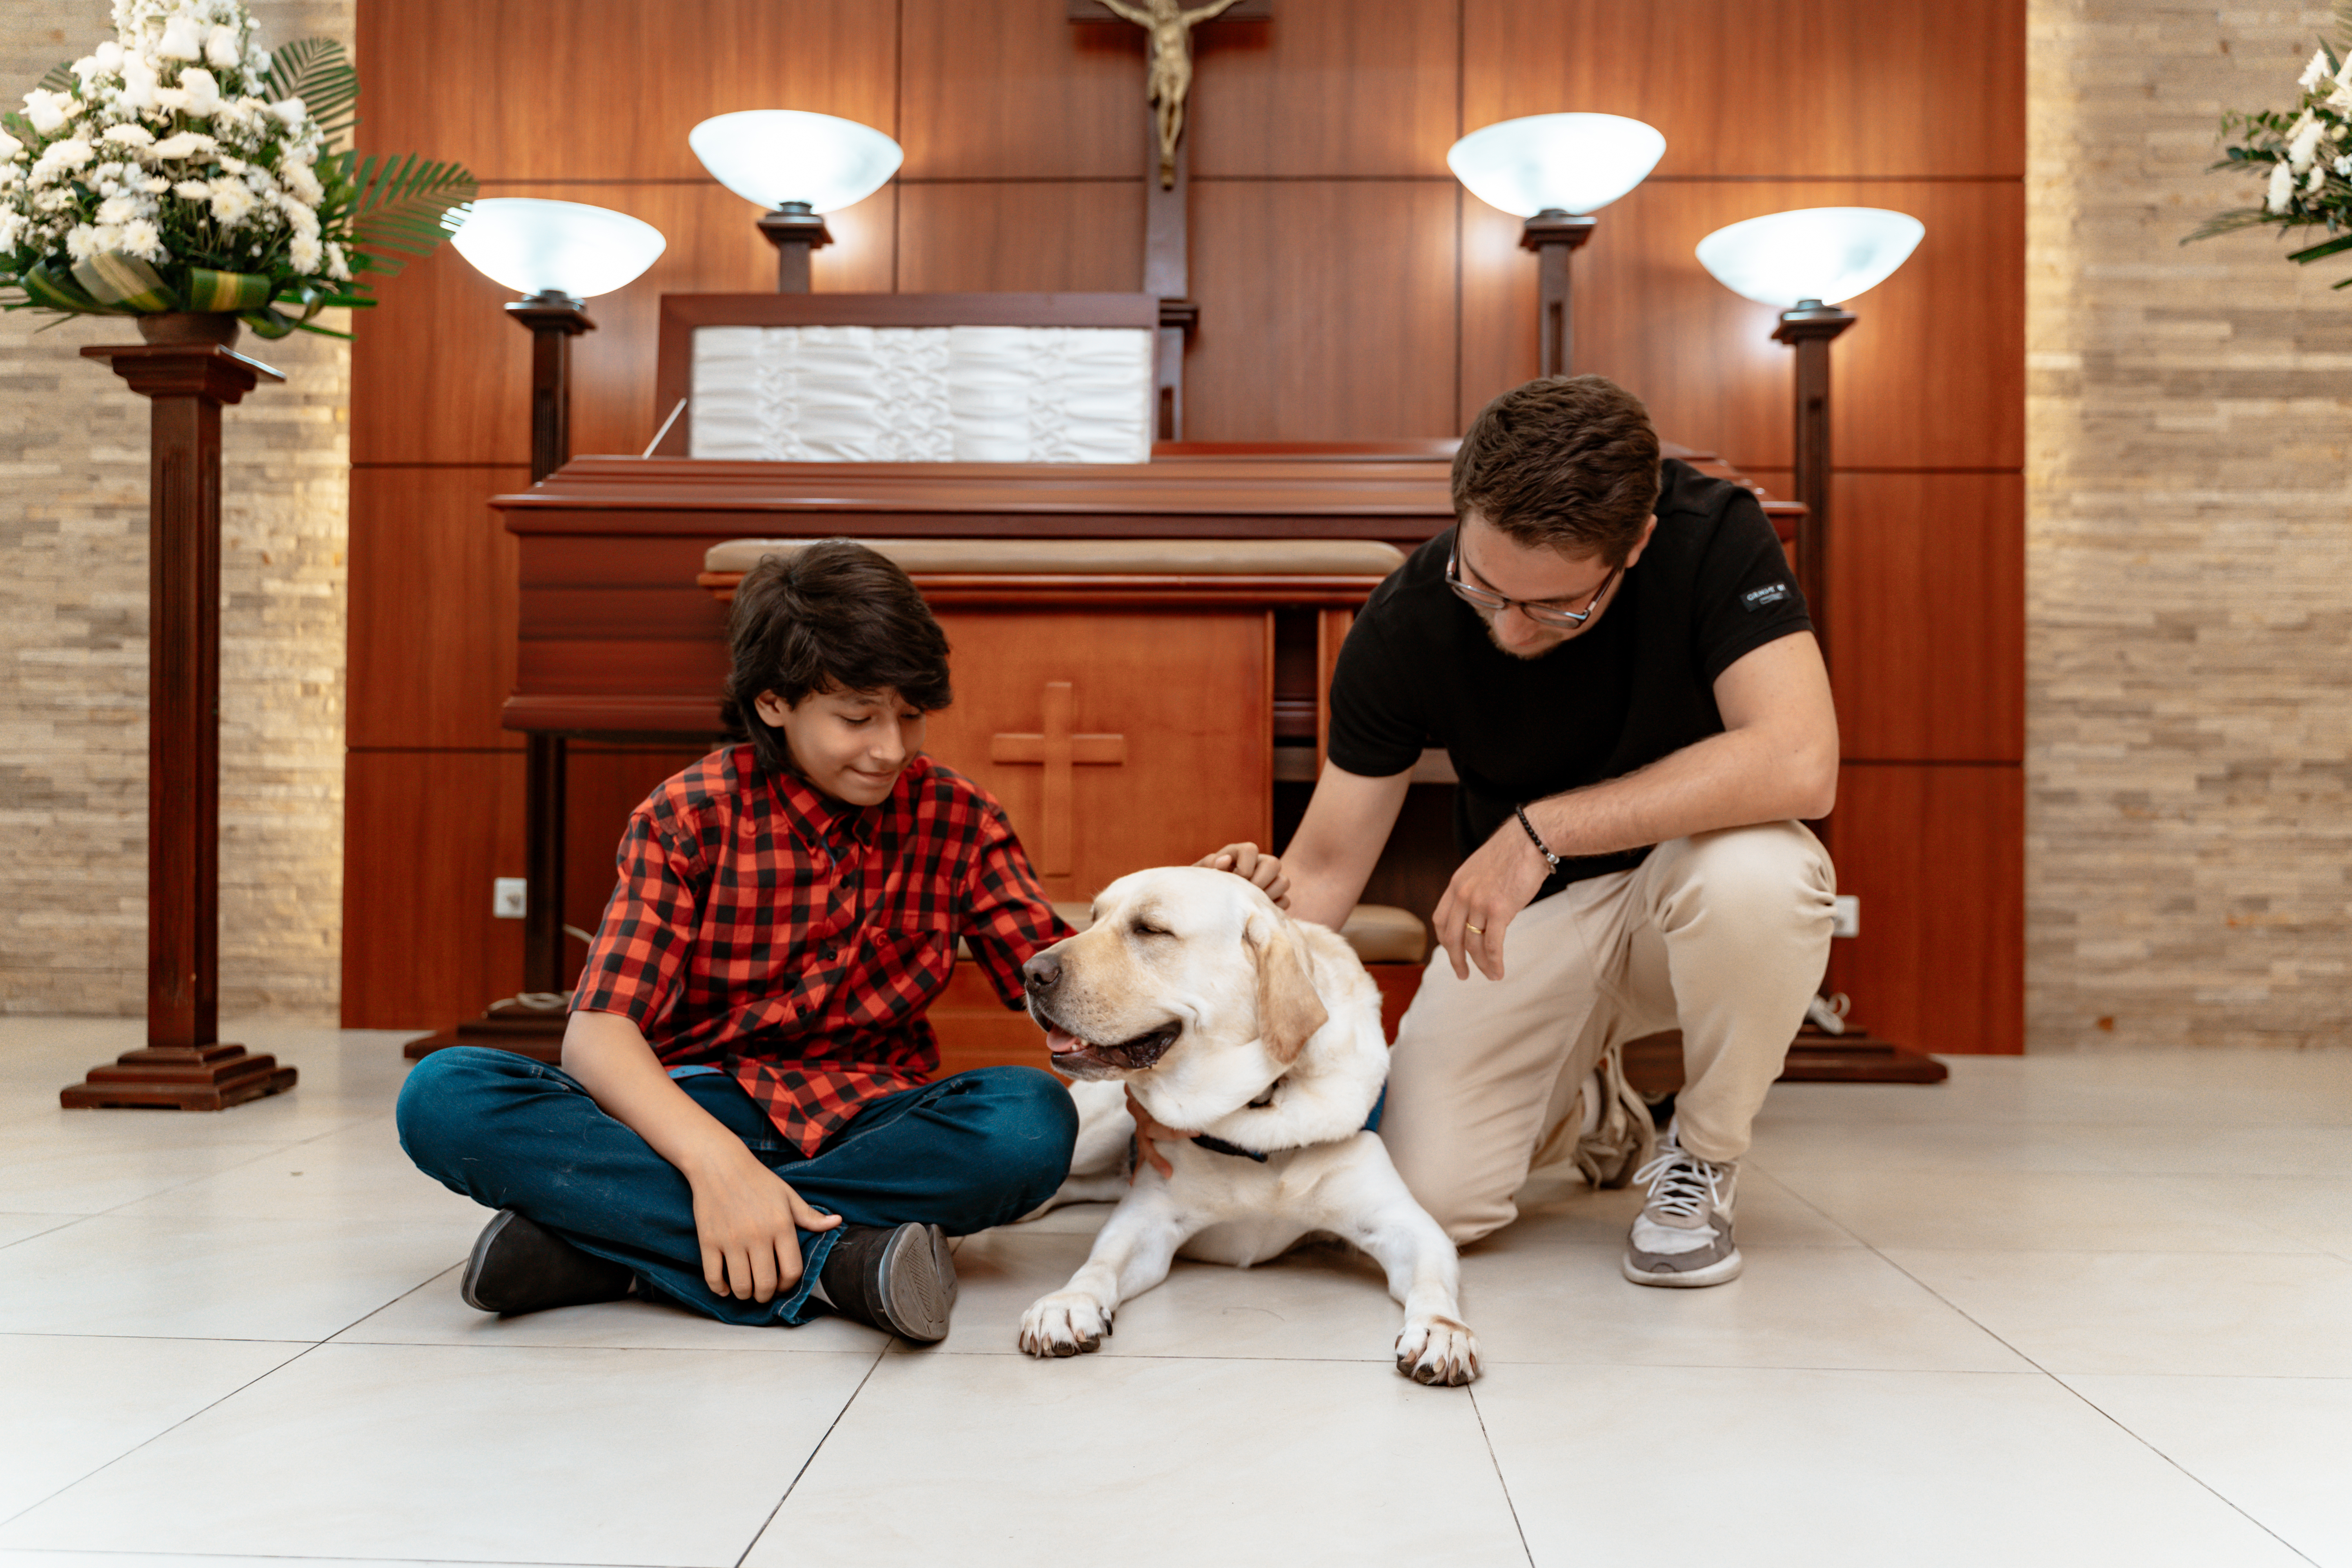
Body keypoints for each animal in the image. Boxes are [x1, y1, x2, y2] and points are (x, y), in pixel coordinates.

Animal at [1021, 865, 1477, 1392]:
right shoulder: (1147, 1222)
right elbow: (1098, 1265)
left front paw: (1443, 1332)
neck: (1259, 1110)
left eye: (1151, 929)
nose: (1031, 972)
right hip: (1093, 1133)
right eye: (1093, 918)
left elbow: (1432, 1283)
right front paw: (1068, 1303)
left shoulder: (1407, 1225)